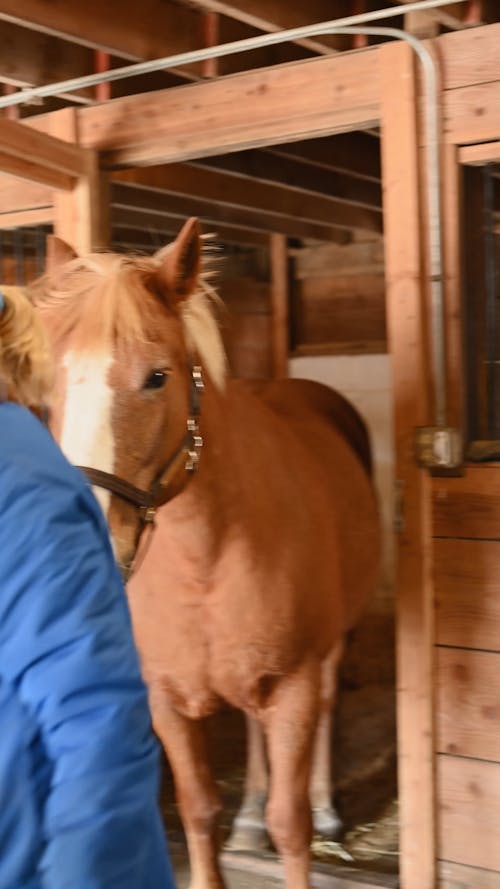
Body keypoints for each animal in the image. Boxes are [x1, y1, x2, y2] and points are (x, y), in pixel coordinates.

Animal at [34, 220, 378, 888]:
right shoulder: (165, 698)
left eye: (157, 376)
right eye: (54, 382)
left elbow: (290, 824)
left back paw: (328, 810)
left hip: (329, 649)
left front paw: (302, 821)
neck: (205, 559)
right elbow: (197, 809)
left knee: (327, 708)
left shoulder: (293, 686)